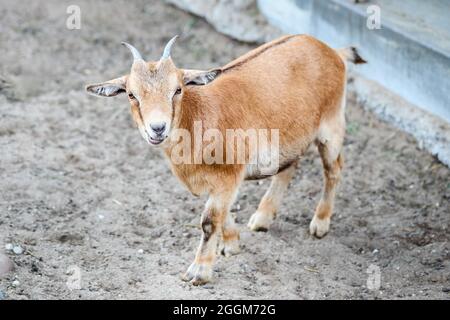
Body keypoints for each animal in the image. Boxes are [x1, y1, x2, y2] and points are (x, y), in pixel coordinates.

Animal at [85, 35, 366, 284]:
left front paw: (198, 272)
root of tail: (333, 51)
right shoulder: (218, 182)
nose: (157, 128)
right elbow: (222, 213)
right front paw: (231, 245)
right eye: (131, 94)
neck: (198, 117)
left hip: (331, 128)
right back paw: (262, 218)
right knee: (289, 166)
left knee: (334, 169)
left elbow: (209, 221)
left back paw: (320, 223)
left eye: (178, 89)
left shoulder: (229, 175)